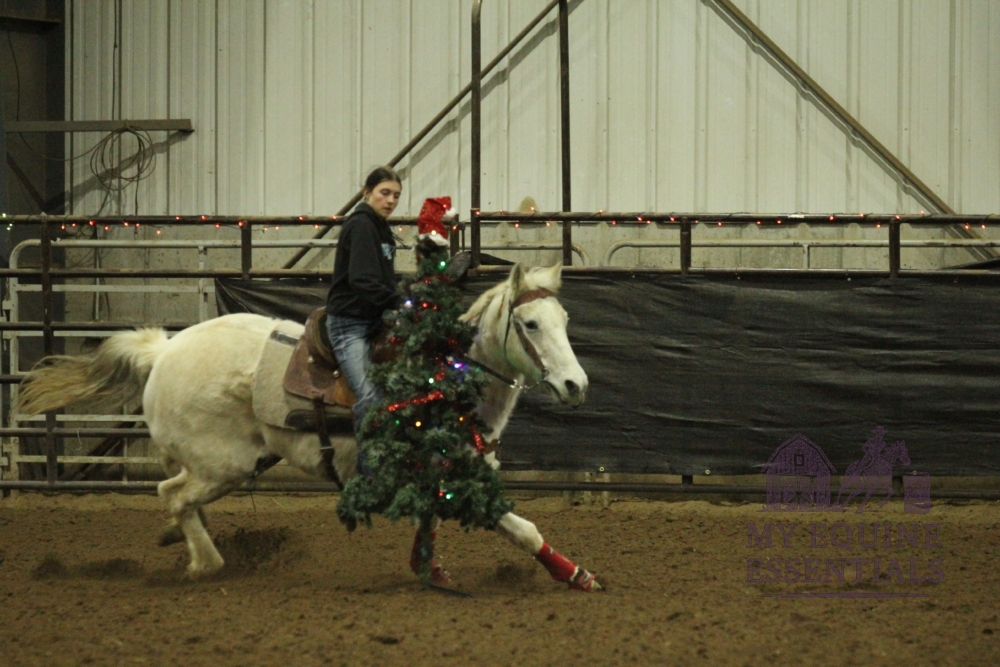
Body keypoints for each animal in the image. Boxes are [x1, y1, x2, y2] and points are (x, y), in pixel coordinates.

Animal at [17, 262, 601, 591]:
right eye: (530, 324)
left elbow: (430, 526)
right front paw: (578, 575)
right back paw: (205, 562)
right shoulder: (457, 477)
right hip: (223, 464)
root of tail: (164, 350)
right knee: (174, 494)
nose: (576, 384)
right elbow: (524, 530)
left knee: (178, 496)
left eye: (566, 321)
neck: (444, 376)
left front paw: (429, 570)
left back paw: (181, 541)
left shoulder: (438, 475)